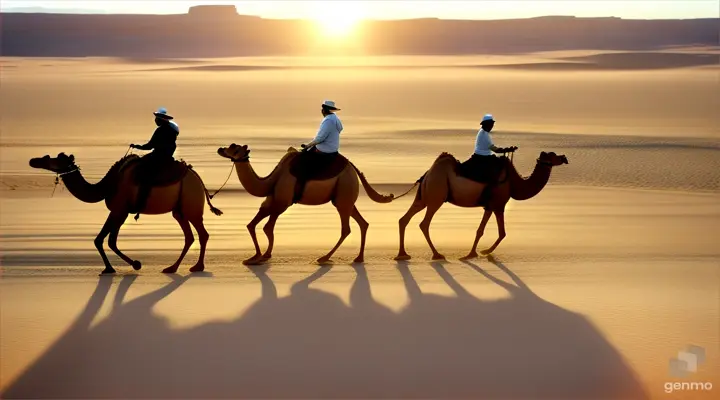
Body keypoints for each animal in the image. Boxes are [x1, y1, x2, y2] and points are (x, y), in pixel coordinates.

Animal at [28, 153, 221, 276]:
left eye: (51, 159)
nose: (33, 160)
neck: (108, 185)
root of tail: (198, 179)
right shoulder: (121, 212)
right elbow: (104, 240)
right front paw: (113, 268)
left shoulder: (119, 210)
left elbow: (106, 240)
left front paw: (132, 264)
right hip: (179, 211)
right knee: (190, 236)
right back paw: (172, 268)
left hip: (191, 206)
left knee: (202, 234)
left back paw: (197, 267)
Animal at [215, 145, 394, 266]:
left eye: (234, 148)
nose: (220, 148)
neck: (270, 181)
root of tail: (353, 168)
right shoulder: (271, 202)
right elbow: (251, 225)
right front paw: (254, 257)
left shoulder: (282, 204)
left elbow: (267, 228)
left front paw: (263, 256)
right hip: (345, 198)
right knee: (363, 223)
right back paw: (358, 258)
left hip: (344, 192)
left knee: (346, 229)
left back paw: (324, 258)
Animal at [394, 152, 568, 260]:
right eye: (553, 156)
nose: (564, 157)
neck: (514, 183)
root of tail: (426, 175)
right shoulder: (497, 204)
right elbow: (493, 232)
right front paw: (477, 253)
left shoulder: (491, 206)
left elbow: (492, 232)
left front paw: (477, 252)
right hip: (436, 195)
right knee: (424, 223)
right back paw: (437, 255)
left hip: (424, 197)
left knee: (404, 219)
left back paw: (402, 254)